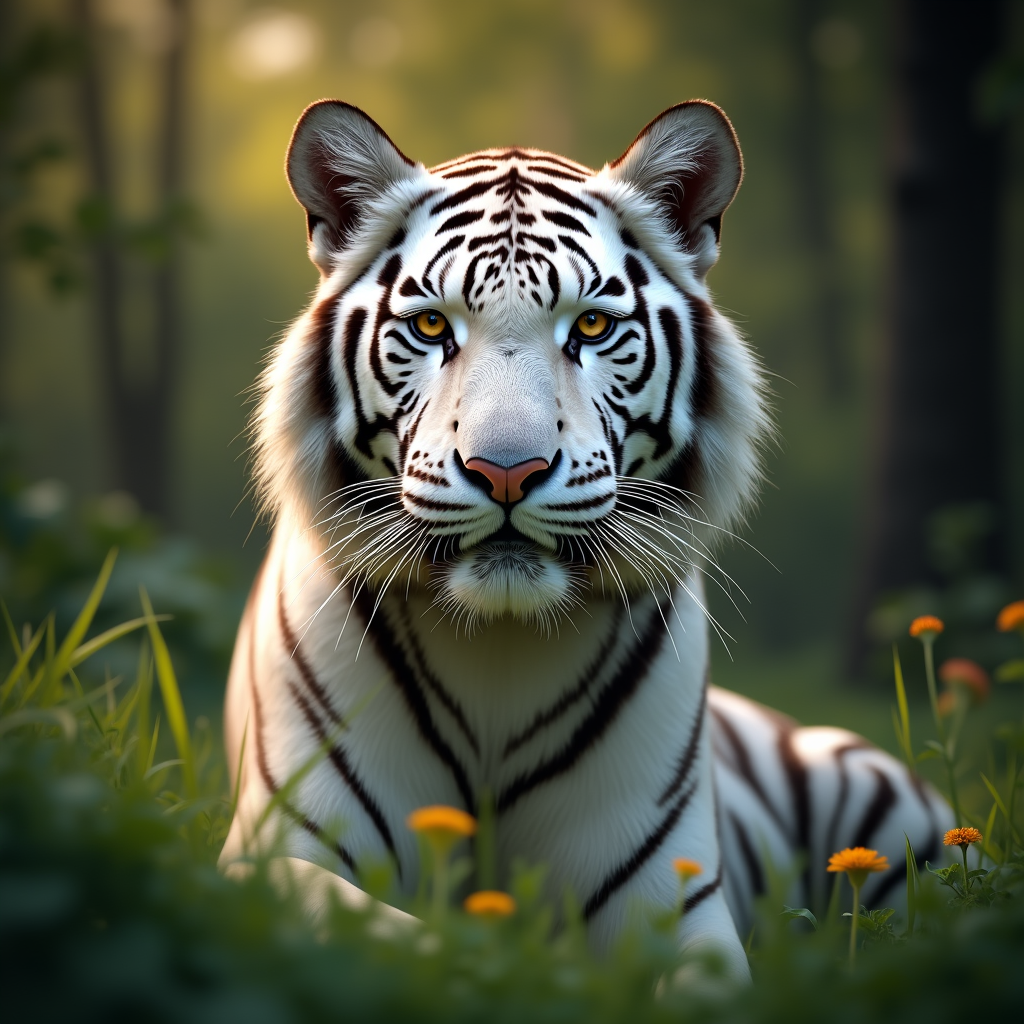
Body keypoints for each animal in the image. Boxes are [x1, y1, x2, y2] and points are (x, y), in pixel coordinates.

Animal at [219, 98, 951, 978]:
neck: (496, 650)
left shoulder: (667, 897)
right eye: (430, 326)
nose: (506, 471)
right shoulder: (279, 852)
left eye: (593, 327)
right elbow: (413, 941)